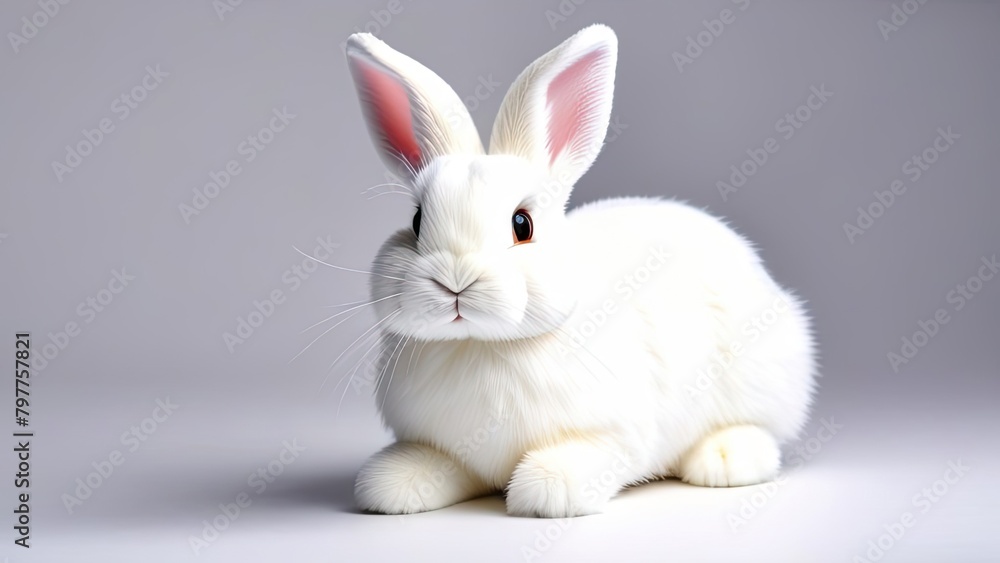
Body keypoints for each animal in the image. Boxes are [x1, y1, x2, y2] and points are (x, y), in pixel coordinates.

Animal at [344, 24, 817, 518]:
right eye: (417, 221)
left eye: (522, 224)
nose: (455, 280)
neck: (484, 344)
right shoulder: (446, 446)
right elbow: (437, 463)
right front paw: (394, 482)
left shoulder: (617, 436)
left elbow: (594, 457)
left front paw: (548, 487)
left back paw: (726, 459)